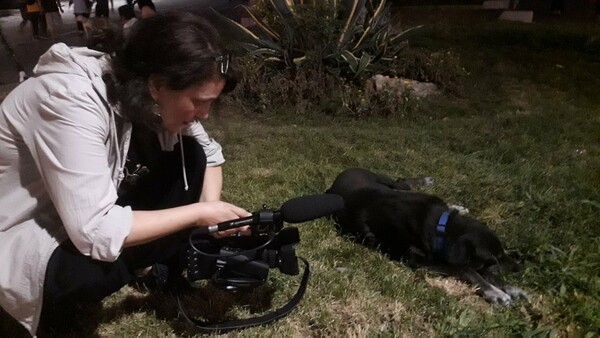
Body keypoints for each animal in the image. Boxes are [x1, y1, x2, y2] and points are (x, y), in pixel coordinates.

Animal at [326, 168, 528, 304]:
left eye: (501, 253)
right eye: (494, 258)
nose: (518, 268)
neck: (441, 226)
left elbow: (481, 271)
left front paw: (512, 288)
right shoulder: (420, 261)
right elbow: (467, 270)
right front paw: (495, 292)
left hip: (389, 183)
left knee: (402, 183)